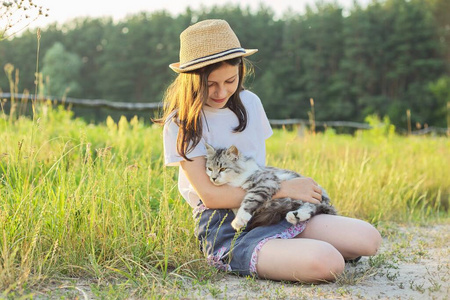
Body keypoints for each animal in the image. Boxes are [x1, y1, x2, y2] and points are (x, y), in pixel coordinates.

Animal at [206, 144, 336, 231]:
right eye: (210, 169)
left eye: (223, 168)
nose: (213, 178)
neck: (235, 180)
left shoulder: (266, 182)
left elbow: (249, 200)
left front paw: (239, 220)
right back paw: (294, 216)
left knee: (313, 205)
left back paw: (295, 216)